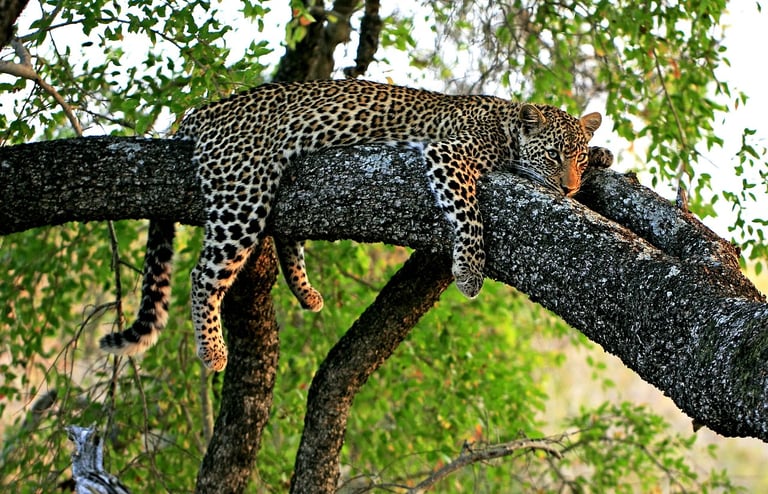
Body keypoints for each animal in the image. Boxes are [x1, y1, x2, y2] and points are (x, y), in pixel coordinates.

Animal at [99, 79, 613, 371]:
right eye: (553, 156)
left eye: (575, 158)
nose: (569, 189)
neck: (506, 123)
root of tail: (202, 111)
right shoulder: (448, 155)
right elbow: (469, 215)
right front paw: (469, 272)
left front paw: (604, 155)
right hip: (243, 190)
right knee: (203, 274)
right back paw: (213, 350)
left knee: (284, 235)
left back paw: (306, 292)